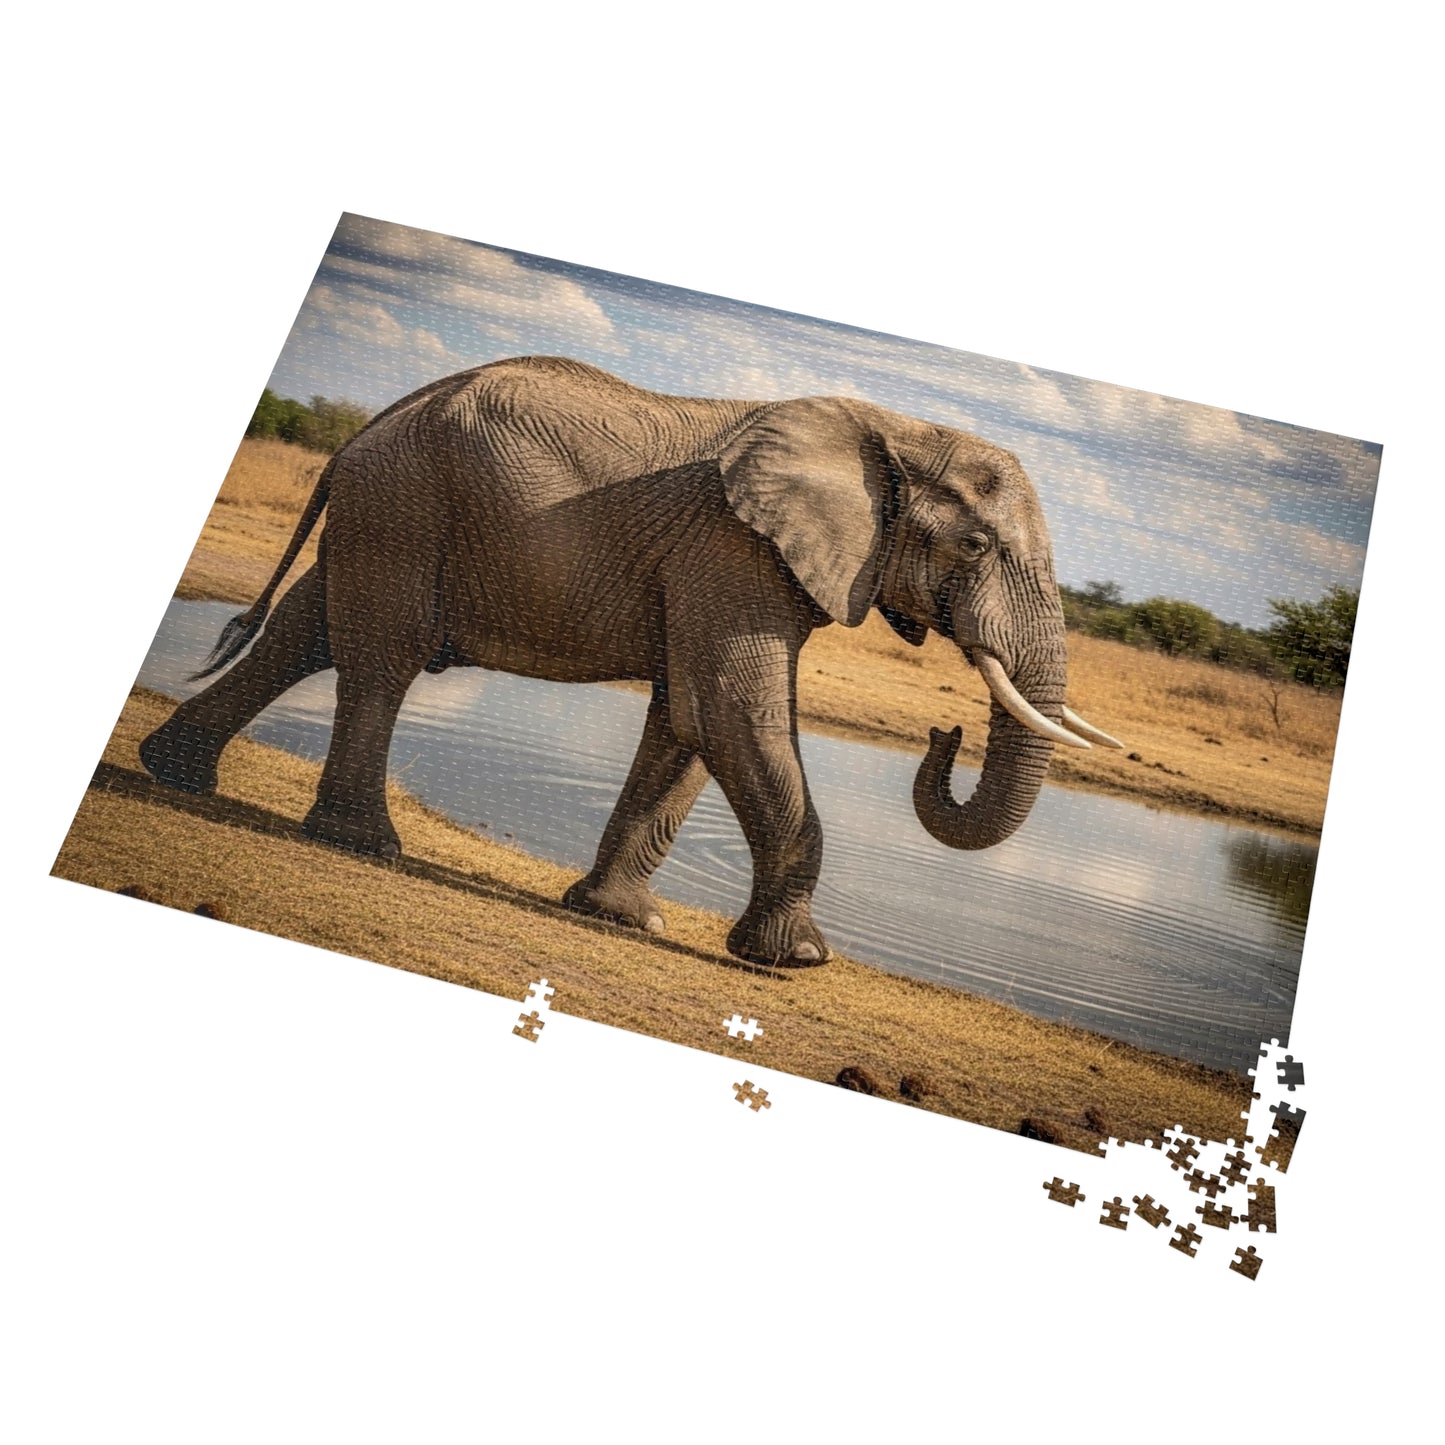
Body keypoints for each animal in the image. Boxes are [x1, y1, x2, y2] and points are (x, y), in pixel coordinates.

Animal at [140, 356, 1120, 965]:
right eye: (976, 546)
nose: (942, 731)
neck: (896, 428)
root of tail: (377, 419)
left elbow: (687, 719)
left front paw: (619, 918)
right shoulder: (734, 550)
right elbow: (731, 714)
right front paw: (798, 960)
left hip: (387, 506)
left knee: (303, 634)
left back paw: (175, 773)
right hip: (405, 504)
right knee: (381, 656)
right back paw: (361, 842)